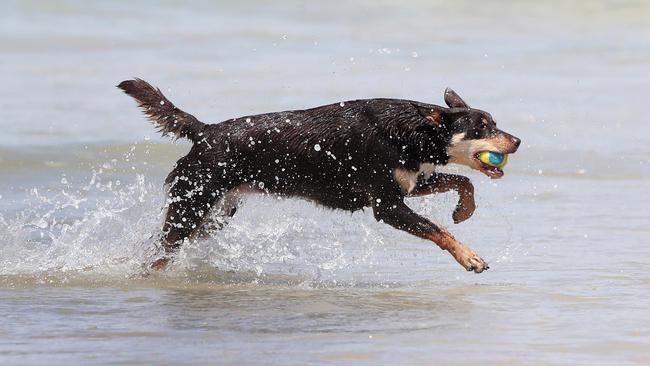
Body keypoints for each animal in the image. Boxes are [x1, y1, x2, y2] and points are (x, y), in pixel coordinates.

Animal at [119, 78, 520, 272]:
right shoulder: (387, 205)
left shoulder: (409, 183)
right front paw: (469, 257)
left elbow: (462, 181)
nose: (517, 141)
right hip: (192, 207)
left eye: (495, 123)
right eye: (482, 127)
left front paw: (464, 210)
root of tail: (204, 131)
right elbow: (438, 230)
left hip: (216, 215)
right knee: (159, 252)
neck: (413, 133)